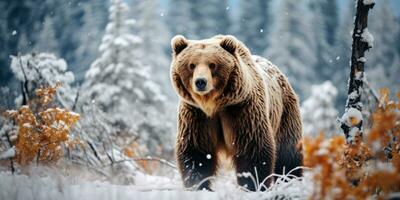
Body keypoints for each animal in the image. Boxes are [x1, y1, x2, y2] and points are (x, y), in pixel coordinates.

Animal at [170, 35, 304, 191]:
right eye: (191, 65)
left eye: (212, 65)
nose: (201, 82)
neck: (214, 104)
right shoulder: (196, 114)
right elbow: (197, 150)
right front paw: (199, 185)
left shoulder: (241, 110)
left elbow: (252, 149)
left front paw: (252, 184)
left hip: (285, 113)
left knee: (287, 153)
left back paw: (290, 180)